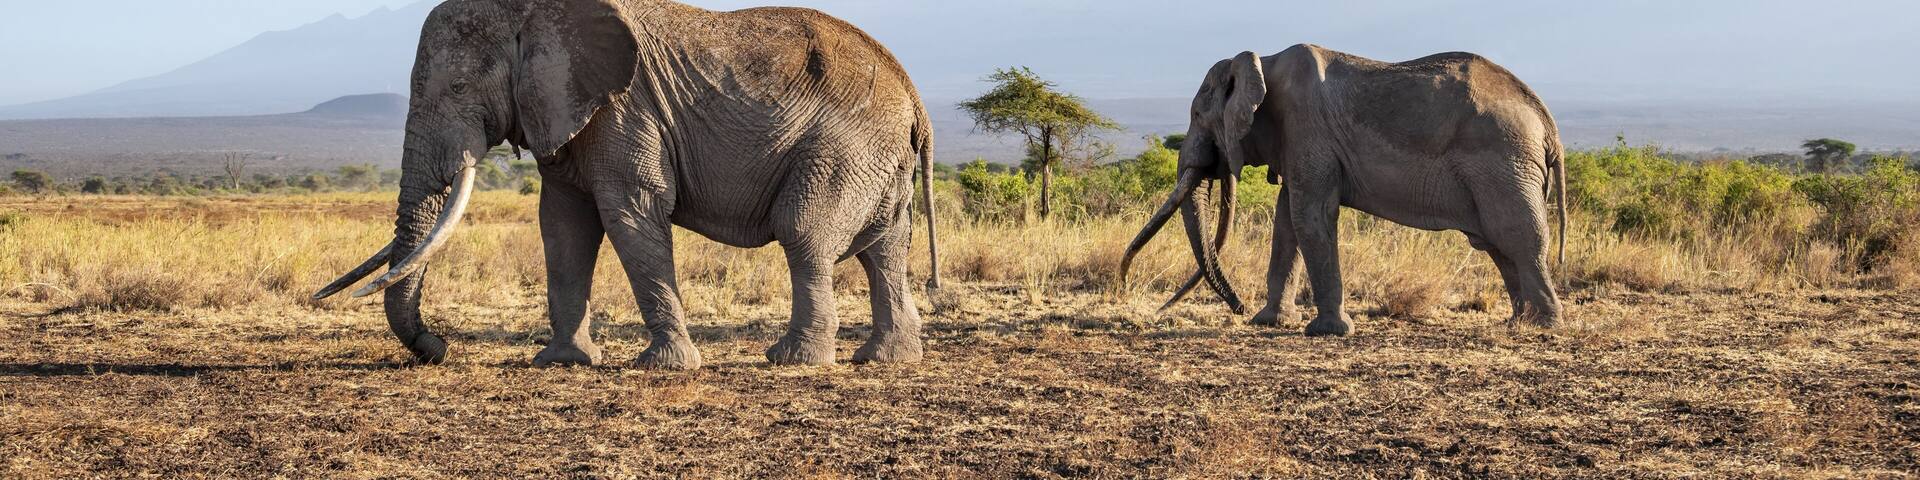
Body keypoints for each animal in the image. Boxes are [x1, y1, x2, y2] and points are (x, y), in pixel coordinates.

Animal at [313, 0, 942, 369]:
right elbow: (562, 227)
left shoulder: (623, 109)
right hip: (878, 158)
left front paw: (664, 368)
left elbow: (631, 213)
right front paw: (563, 363)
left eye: (461, 87)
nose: (437, 349)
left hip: (845, 146)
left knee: (806, 235)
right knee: (884, 249)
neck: (532, 10)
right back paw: (885, 360)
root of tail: (915, 98)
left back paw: (794, 360)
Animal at [1123, 44, 1567, 335]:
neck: (1262, 63)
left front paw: (1329, 331)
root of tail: (1547, 121)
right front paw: (1269, 323)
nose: (1238, 307)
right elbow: (1288, 220)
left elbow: (1310, 215)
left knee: (1516, 235)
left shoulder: (1307, 128)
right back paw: (1518, 322)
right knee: (1497, 245)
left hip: (1502, 160)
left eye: (1199, 114)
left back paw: (1543, 327)